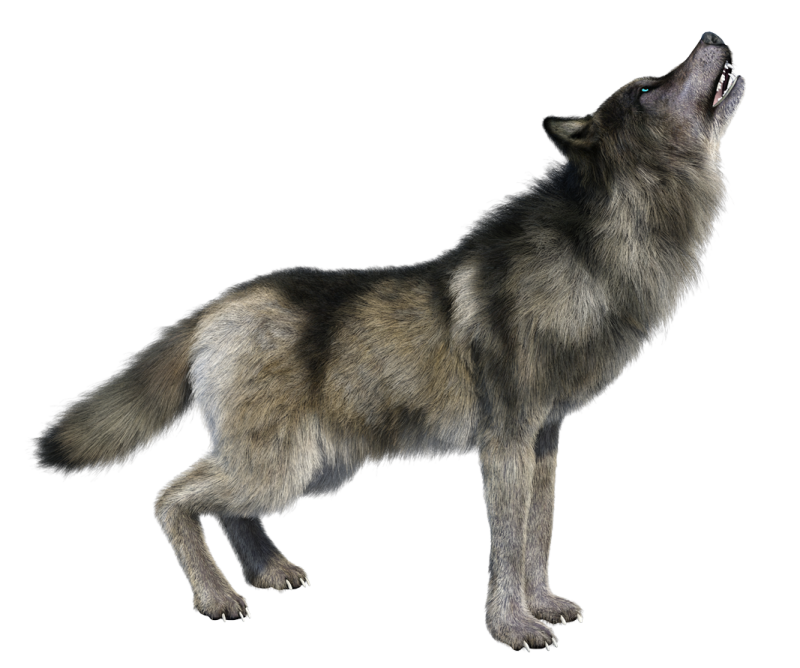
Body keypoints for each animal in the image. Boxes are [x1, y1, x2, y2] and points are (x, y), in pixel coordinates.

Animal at [27, 30, 745, 651]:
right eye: (648, 89)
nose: (712, 36)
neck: (602, 244)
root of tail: (216, 305)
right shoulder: (505, 445)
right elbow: (509, 549)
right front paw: (514, 629)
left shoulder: (545, 440)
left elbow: (538, 537)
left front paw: (543, 607)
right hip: (284, 467)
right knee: (168, 496)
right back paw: (216, 599)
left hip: (309, 471)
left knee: (228, 510)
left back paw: (270, 575)